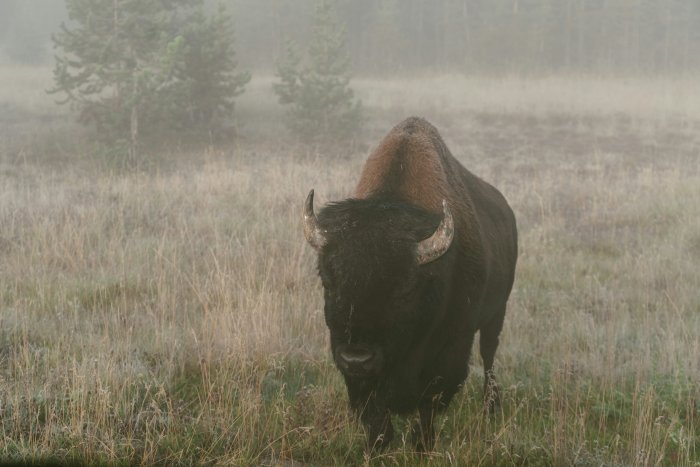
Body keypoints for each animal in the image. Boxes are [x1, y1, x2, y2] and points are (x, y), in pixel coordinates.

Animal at [303, 117, 518, 451]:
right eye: (328, 279)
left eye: (405, 288)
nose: (357, 358)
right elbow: (374, 412)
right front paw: (378, 446)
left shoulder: (450, 350)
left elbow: (430, 403)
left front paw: (422, 445)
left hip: (497, 312)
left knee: (489, 354)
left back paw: (492, 407)